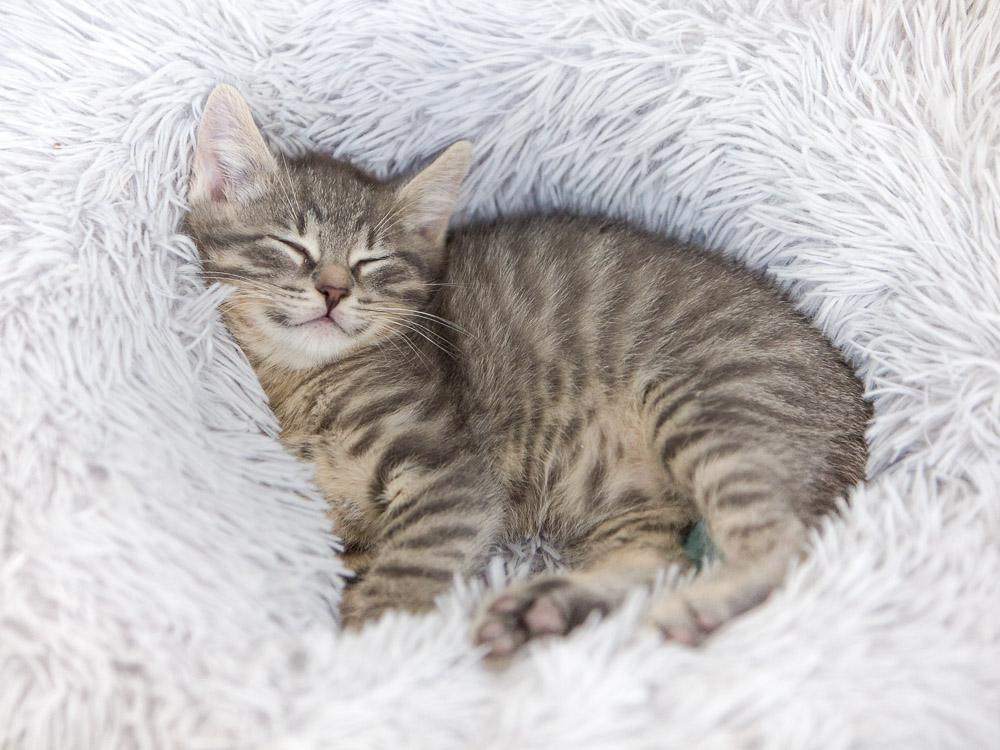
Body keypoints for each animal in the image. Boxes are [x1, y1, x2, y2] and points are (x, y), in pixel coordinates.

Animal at [186, 86, 868, 656]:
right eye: (290, 246)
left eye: (372, 262)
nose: (332, 290)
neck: (302, 383)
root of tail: (855, 401)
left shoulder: (450, 475)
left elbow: (409, 566)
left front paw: (362, 651)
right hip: (632, 502)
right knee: (655, 560)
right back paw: (545, 609)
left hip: (711, 405)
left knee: (782, 539)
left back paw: (697, 607)